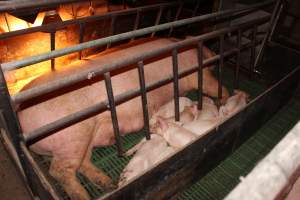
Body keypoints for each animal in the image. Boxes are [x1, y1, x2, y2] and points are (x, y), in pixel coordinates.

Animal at [18, 37, 230, 198]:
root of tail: (21, 116)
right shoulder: (195, 73)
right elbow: (214, 86)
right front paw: (225, 99)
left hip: (82, 139)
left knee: (82, 163)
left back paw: (107, 183)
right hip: (73, 135)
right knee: (60, 171)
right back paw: (85, 195)